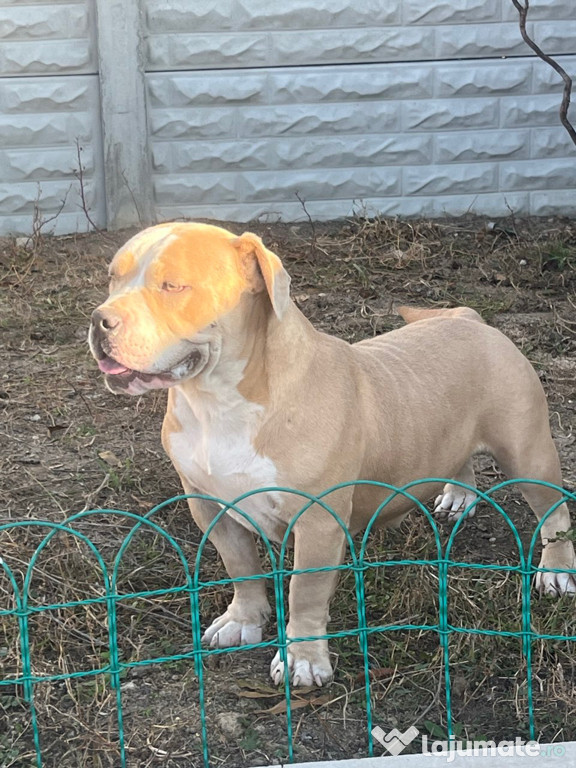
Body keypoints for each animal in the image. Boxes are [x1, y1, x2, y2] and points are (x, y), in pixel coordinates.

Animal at [89, 224, 576, 688]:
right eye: (111, 278)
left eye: (173, 285)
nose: (99, 319)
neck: (217, 400)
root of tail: (470, 318)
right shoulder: (210, 506)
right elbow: (240, 566)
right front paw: (243, 621)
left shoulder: (317, 521)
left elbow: (304, 591)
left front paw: (302, 661)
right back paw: (459, 494)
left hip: (528, 452)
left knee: (553, 511)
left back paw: (555, 570)